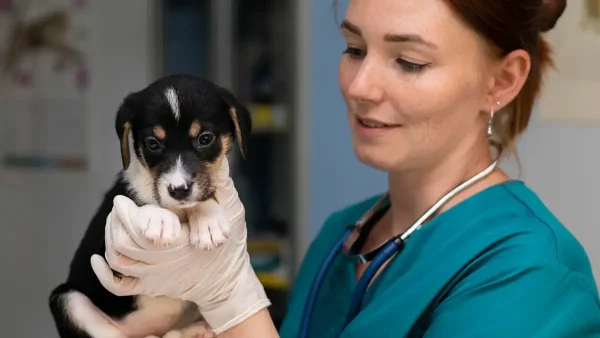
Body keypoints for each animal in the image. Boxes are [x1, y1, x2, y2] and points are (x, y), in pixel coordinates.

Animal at [47, 74, 251, 338]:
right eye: (153, 143)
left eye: (205, 138)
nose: (178, 189)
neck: (178, 210)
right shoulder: (104, 252)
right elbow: (140, 201)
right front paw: (159, 219)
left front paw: (208, 220)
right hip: (68, 299)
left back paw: (197, 330)